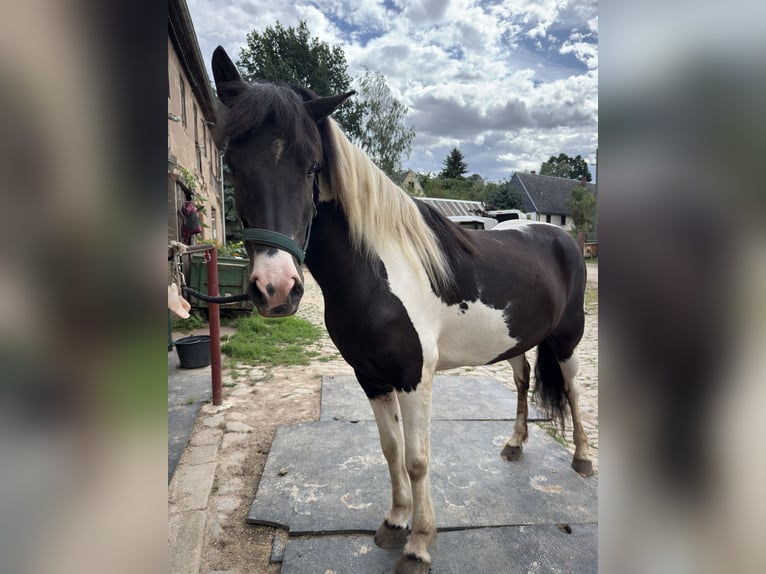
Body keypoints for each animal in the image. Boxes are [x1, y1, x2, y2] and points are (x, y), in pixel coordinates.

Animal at [211, 46, 593, 574]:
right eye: (232, 161)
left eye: (311, 167)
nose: (276, 288)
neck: (377, 272)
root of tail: (560, 235)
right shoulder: (370, 377)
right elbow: (390, 449)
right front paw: (395, 522)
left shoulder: (414, 376)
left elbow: (417, 458)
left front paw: (419, 545)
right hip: (517, 340)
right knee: (521, 381)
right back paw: (515, 444)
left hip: (569, 339)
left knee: (574, 392)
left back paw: (582, 459)